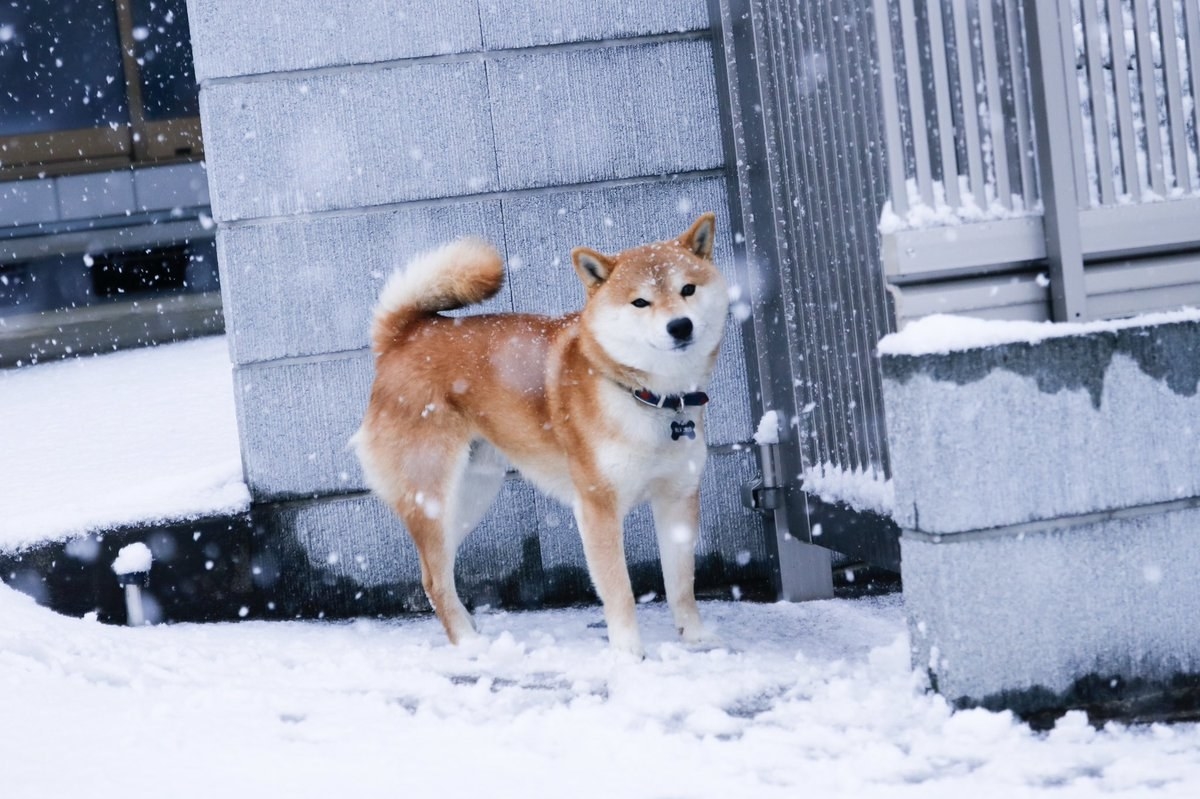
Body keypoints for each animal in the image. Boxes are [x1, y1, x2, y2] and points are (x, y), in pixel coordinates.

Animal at [352, 213, 729, 652]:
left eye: (688, 289)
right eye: (640, 302)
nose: (680, 326)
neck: (649, 397)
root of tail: (401, 337)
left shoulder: (678, 496)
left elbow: (682, 584)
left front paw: (696, 637)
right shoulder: (597, 506)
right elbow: (619, 589)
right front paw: (628, 652)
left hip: (470, 495)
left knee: (437, 569)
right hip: (432, 496)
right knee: (433, 579)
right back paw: (468, 642)